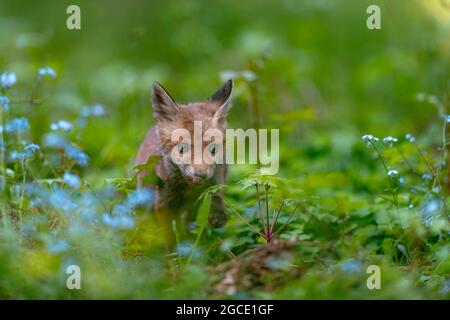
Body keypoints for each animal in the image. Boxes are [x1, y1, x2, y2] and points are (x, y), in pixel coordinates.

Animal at [134, 80, 234, 248]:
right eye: (182, 148)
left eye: (213, 149)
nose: (201, 174)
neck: (189, 189)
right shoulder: (164, 205)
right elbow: (170, 237)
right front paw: (175, 253)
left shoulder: (217, 178)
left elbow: (216, 193)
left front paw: (218, 213)